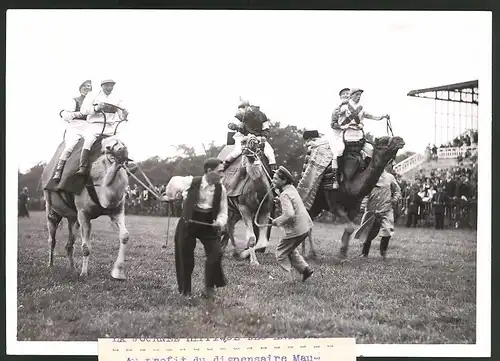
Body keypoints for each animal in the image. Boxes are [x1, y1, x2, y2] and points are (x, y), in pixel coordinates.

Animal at [40, 135, 132, 278]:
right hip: (51, 208)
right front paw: (83, 274)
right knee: (52, 238)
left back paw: (72, 268)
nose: (122, 150)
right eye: (108, 147)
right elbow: (85, 247)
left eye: (122, 143)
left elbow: (125, 236)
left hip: (73, 218)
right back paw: (50, 265)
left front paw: (118, 272)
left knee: (69, 243)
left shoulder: (117, 210)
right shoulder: (84, 213)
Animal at [218, 134, 274, 266]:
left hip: (234, 211)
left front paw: (242, 255)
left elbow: (262, 242)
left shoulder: (265, 210)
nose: (252, 141)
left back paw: (228, 250)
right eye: (243, 141)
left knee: (229, 226)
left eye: (258, 142)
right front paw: (253, 261)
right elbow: (252, 238)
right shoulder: (244, 208)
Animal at [294, 126, 404, 258]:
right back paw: (309, 253)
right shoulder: (334, 204)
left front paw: (343, 254)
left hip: (318, 206)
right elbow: (350, 227)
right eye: (383, 140)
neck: (350, 185)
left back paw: (308, 252)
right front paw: (342, 252)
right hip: (312, 201)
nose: (400, 139)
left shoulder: (354, 207)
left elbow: (349, 229)